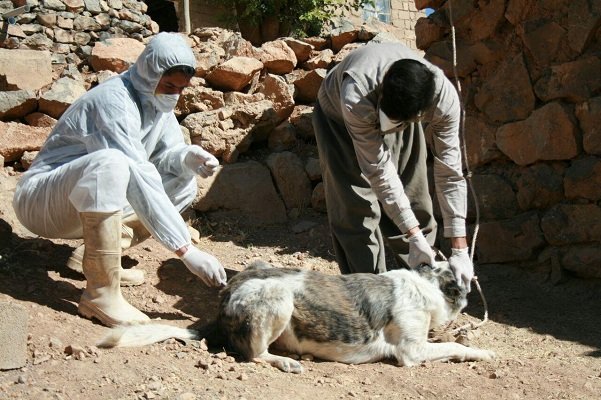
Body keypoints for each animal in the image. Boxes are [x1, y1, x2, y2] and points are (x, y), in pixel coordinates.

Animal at [97, 260, 492, 374]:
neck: (426, 285)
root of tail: (224, 297)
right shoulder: (412, 352)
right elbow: (455, 347)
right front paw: (481, 352)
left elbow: (448, 340)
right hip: (278, 299)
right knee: (253, 354)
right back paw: (285, 361)